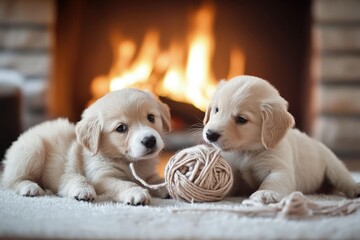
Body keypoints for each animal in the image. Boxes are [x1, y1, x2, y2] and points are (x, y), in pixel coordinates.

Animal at [1, 89, 171, 205]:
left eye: (151, 117)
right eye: (121, 128)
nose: (150, 140)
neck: (130, 162)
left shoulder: (148, 175)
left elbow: (156, 180)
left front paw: (168, 187)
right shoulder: (102, 177)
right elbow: (123, 183)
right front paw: (136, 192)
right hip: (32, 149)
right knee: (12, 180)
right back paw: (29, 187)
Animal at [202, 76, 360, 203]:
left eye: (241, 119)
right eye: (217, 109)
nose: (210, 134)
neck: (246, 151)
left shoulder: (280, 168)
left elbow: (273, 181)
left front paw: (265, 193)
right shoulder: (233, 170)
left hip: (333, 166)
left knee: (344, 179)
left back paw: (355, 188)